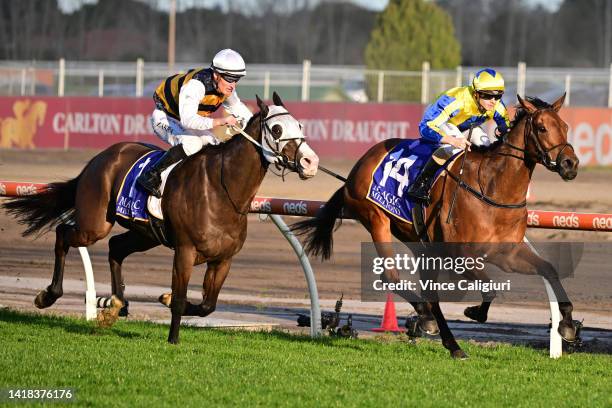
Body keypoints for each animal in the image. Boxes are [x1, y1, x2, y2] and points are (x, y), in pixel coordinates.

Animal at [3, 93, 320, 344]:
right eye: (276, 129)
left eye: (300, 126)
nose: (310, 162)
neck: (222, 190)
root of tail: (101, 157)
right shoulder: (185, 251)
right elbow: (180, 299)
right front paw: (173, 339)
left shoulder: (223, 259)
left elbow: (207, 305)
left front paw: (165, 300)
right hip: (95, 224)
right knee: (63, 233)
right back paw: (48, 295)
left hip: (145, 235)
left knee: (116, 247)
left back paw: (116, 304)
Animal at [292, 95, 580, 356]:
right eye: (541, 128)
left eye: (565, 127)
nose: (571, 164)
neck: (491, 187)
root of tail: (358, 166)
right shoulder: (461, 256)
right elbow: (490, 287)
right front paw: (475, 311)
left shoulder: (507, 254)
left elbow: (549, 269)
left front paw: (566, 324)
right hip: (376, 218)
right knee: (392, 277)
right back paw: (427, 318)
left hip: (421, 243)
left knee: (430, 293)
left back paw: (450, 343)